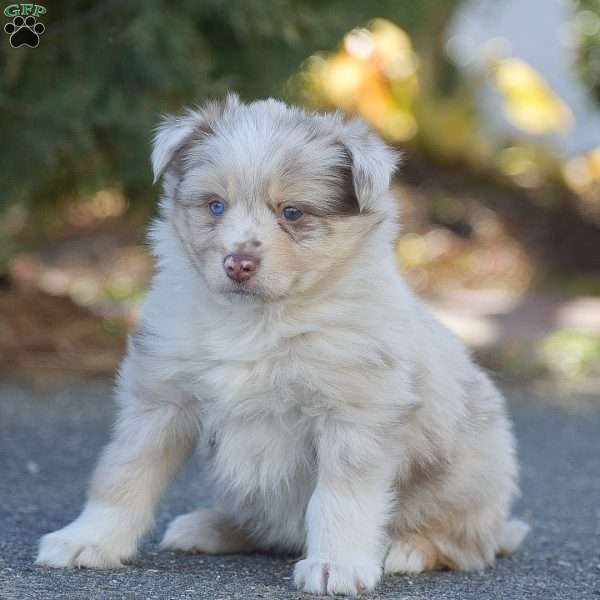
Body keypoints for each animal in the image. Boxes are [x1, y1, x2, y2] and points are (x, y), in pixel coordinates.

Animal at [35, 96, 528, 592]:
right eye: (215, 206)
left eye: (292, 213)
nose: (238, 264)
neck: (258, 320)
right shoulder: (160, 399)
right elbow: (124, 474)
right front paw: (87, 540)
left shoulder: (355, 413)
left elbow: (341, 497)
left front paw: (337, 564)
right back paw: (208, 526)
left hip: (470, 473)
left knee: (467, 544)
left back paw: (406, 549)